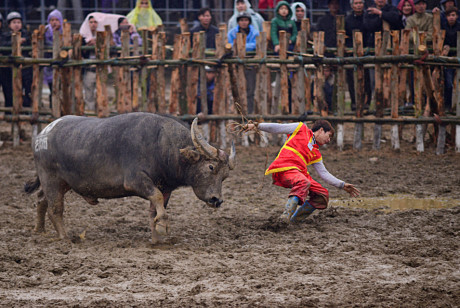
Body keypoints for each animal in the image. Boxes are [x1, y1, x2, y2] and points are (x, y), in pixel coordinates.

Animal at [24, 113, 237, 243]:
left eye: (225, 176)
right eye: (211, 167)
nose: (216, 200)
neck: (161, 145)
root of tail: (43, 134)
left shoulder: (165, 188)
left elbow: (155, 209)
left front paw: (156, 237)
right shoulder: (136, 181)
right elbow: (156, 198)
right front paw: (162, 227)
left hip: (62, 182)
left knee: (41, 199)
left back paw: (39, 229)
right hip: (51, 179)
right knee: (55, 208)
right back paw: (65, 237)